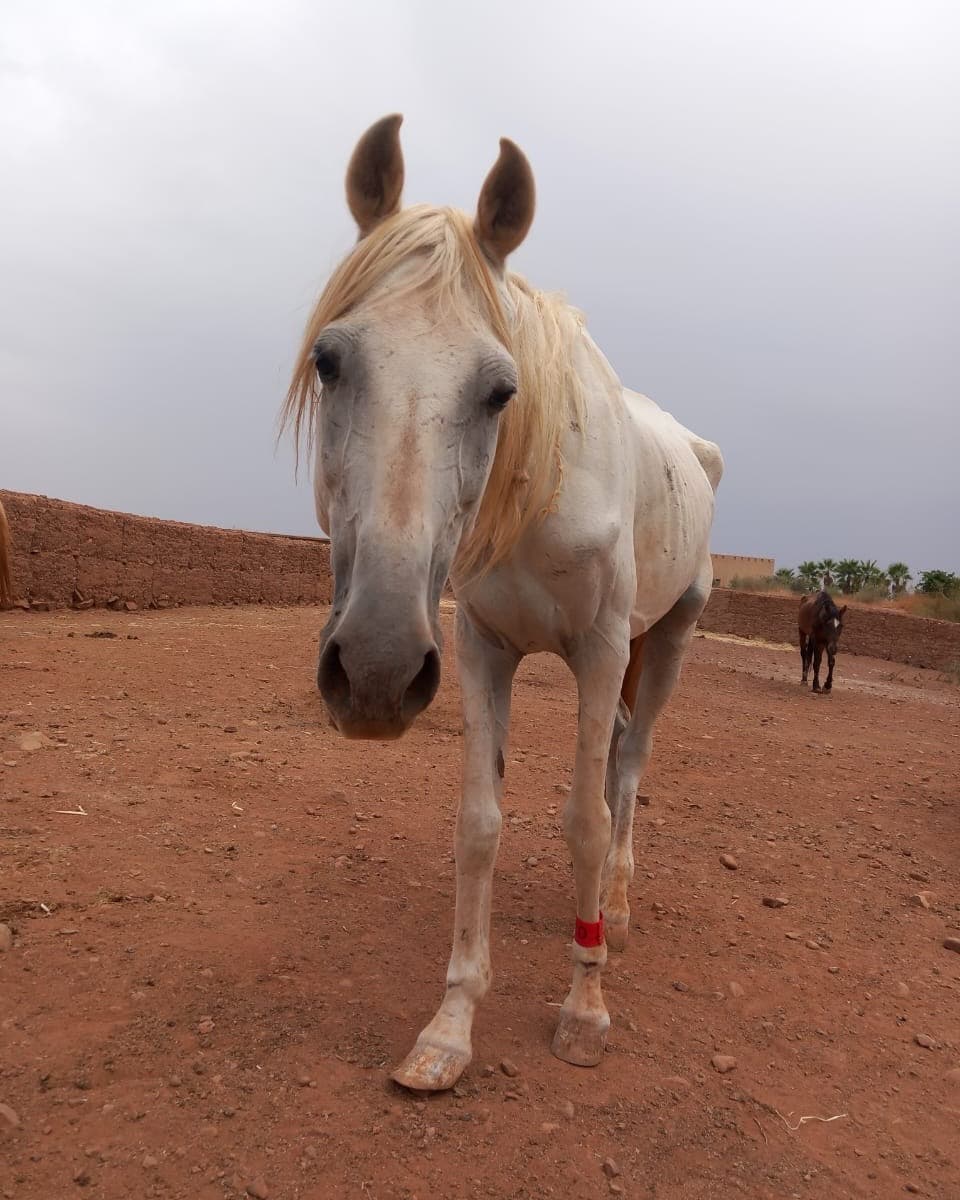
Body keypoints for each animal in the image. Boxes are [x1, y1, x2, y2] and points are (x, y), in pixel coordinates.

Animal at [282, 114, 723, 1092]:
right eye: (330, 361)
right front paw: (449, 1030)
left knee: (629, 770)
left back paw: (616, 914)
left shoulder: (599, 651)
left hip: (668, 641)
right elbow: (479, 825)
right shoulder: (482, 646)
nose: (373, 671)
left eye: (499, 389)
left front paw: (585, 1008)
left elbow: (586, 822)